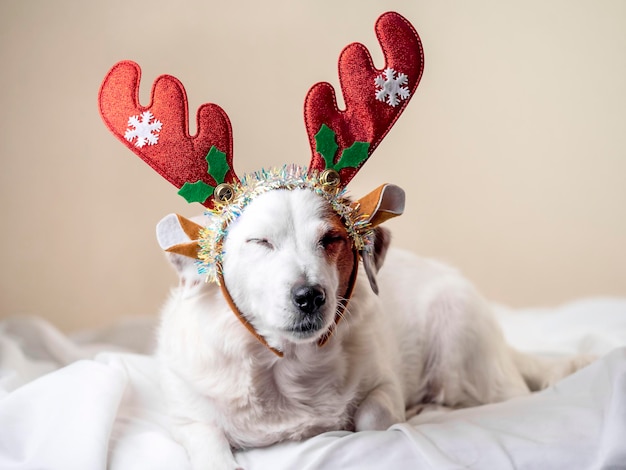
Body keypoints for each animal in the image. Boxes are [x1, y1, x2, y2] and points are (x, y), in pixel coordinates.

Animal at [152, 186, 588, 470]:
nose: (310, 296)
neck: (286, 366)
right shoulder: (187, 420)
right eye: (260, 242)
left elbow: (372, 420)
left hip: (457, 333)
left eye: (331, 239)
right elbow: (212, 451)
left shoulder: (385, 384)